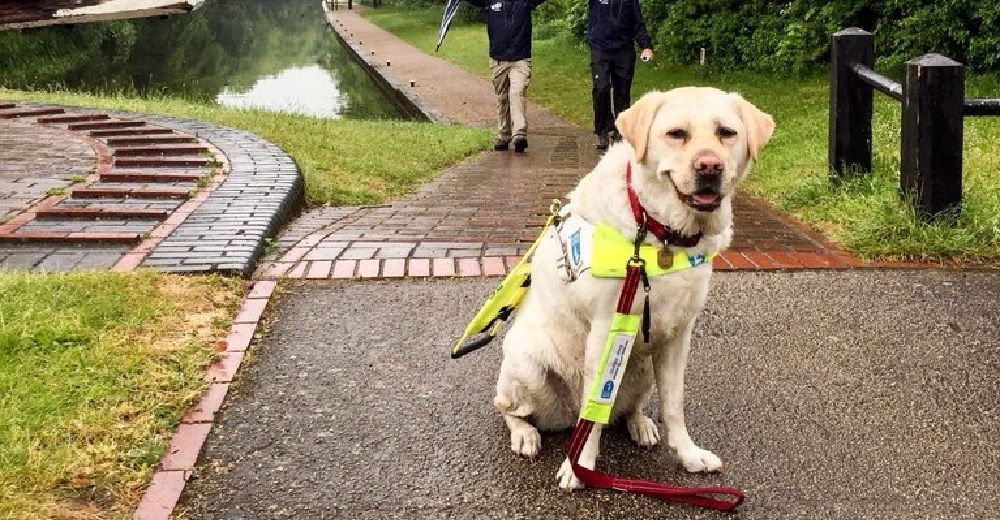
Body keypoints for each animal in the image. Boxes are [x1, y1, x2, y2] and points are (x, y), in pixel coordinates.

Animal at [492, 87, 772, 490]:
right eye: (676, 134)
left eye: (726, 133)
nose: (709, 167)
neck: (662, 234)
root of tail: (562, 416)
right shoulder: (605, 331)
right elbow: (592, 413)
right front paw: (579, 466)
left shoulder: (678, 335)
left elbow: (674, 405)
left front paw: (688, 454)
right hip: (527, 365)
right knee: (512, 409)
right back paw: (525, 434)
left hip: (642, 367)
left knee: (624, 409)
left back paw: (639, 424)